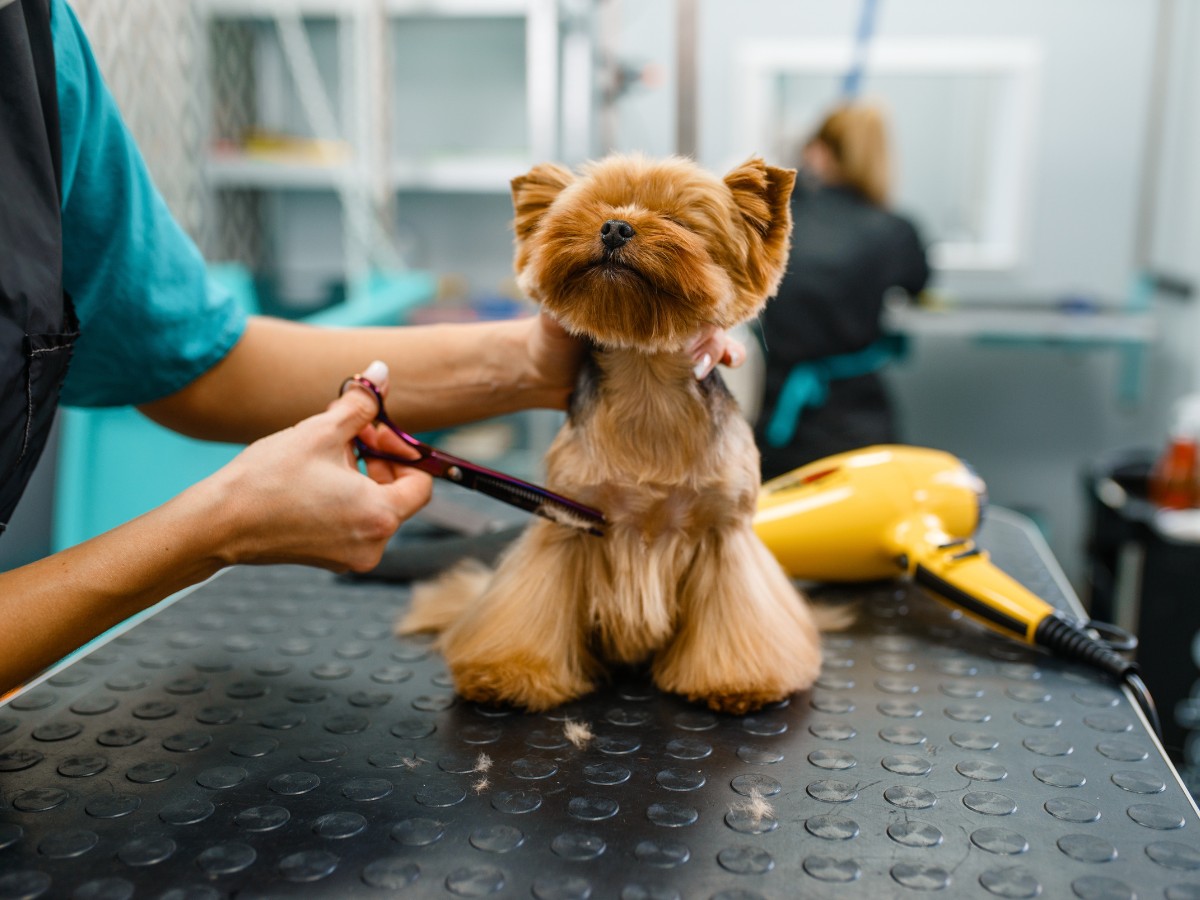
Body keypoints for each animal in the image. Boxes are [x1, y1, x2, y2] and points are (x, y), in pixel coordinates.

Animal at [398, 157, 820, 720]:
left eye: (680, 221)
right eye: (594, 209)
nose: (615, 227)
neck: (645, 379)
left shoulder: (723, 534)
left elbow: (734, 616)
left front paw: (738, 681)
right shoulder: (567, 524)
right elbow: (530, 608)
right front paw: (510, 673)